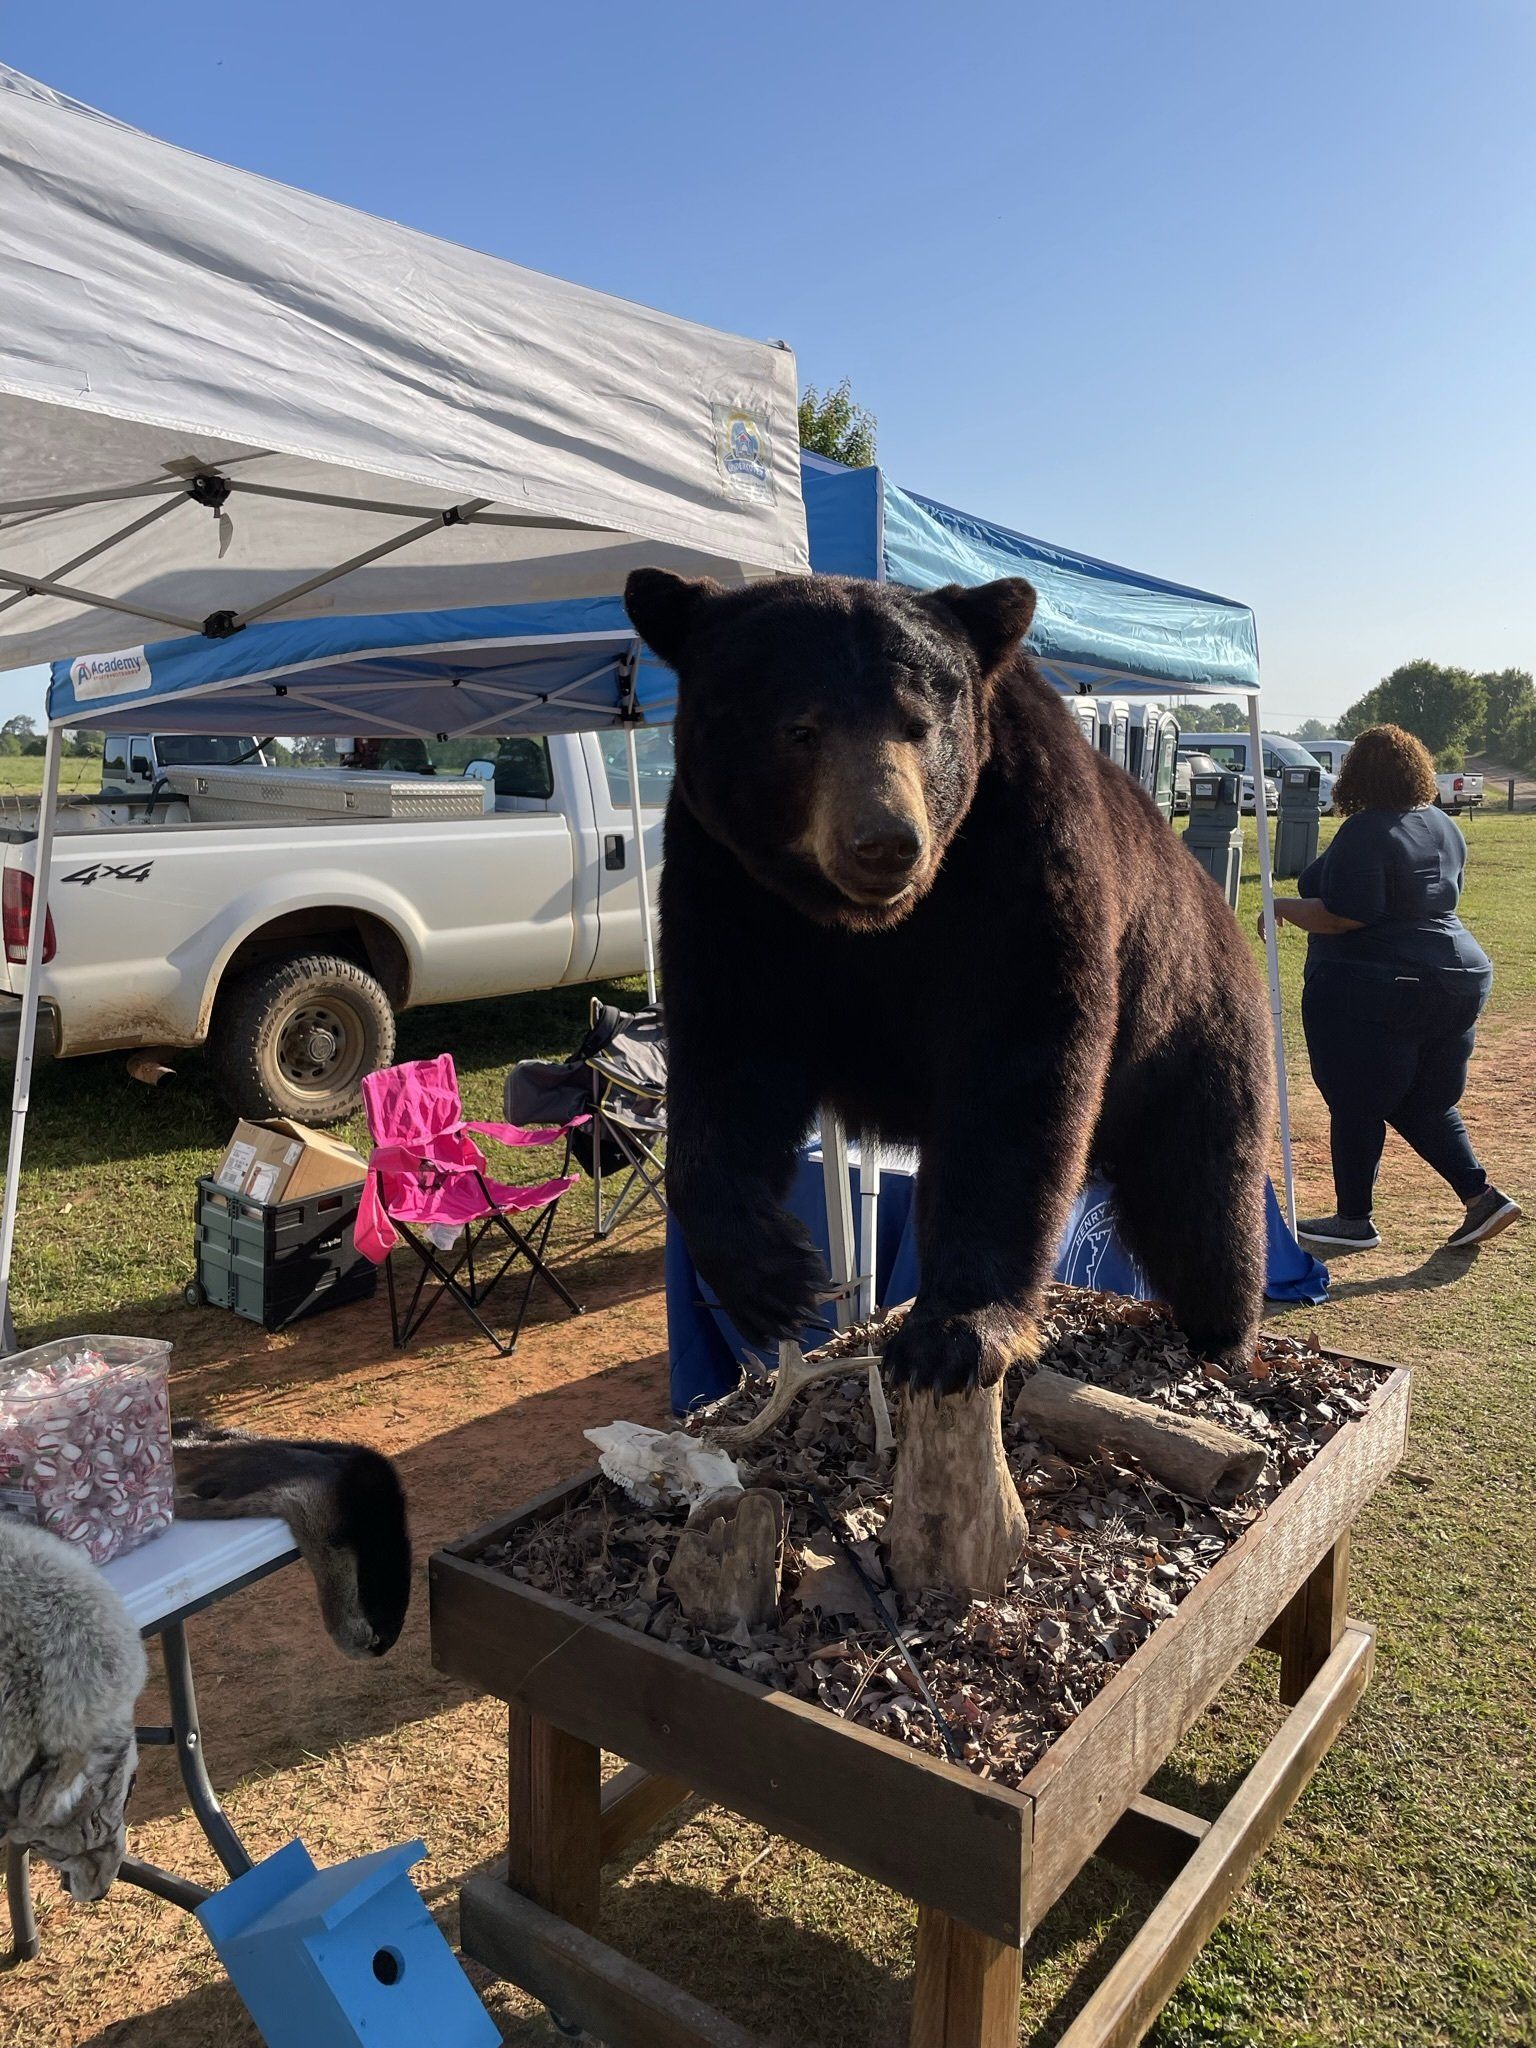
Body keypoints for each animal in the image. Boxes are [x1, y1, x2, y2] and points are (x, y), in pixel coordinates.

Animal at [623, 566, 1275, 1396]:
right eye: (799, 728)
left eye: (919, 725)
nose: (886, 843)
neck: (861, 924)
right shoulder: (725, 884)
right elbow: (727, 1060)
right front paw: (776, 1279)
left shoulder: (1023, 858)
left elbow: (1017, 1074)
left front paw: (955, 1333)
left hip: (1185, 1036)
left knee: (1201, 1195)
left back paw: (1224, 1337)